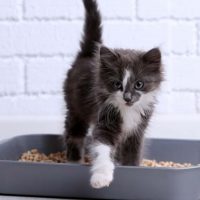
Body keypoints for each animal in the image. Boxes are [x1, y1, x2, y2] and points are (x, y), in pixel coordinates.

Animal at [63, 0, 163, 188]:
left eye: (139, 84)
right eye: (117, 84)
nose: (127, 97)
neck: (128, 111)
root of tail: (87, 55)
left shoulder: (137, 130)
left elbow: (132, 154)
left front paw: (133, 169)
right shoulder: (104, 119)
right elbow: (102, 149)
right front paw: (101, 177)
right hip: (75, 107)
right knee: (73, 134)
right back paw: (73, 160)